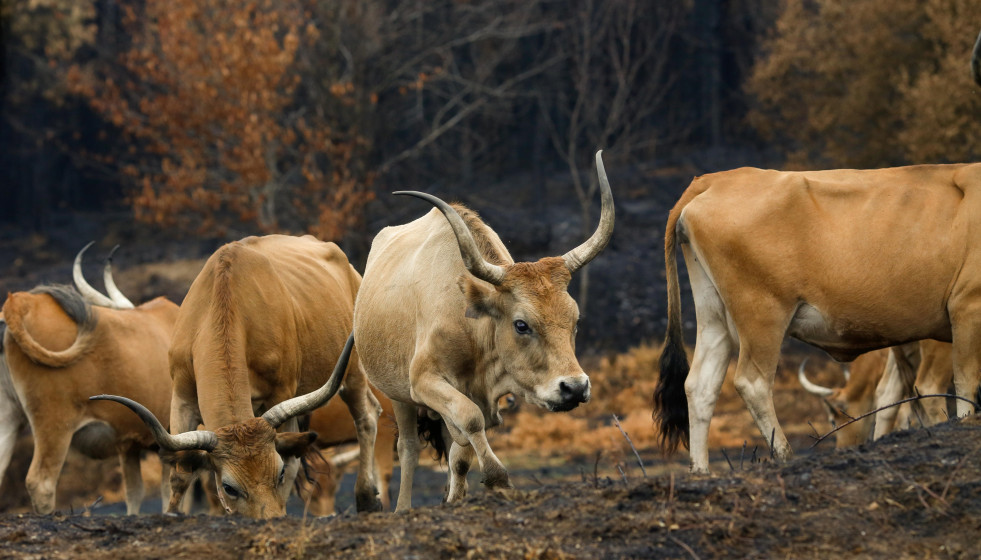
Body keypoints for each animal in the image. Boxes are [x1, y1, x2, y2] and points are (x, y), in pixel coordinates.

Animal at [0, 251, 179, 514]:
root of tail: (21, 301)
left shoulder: (129, 443)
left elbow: (135, 492)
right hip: (54, 422)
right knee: (41, 482)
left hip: (9, 416)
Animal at [94, 235, 383, 518]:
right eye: (229, 487)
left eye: (277, 473)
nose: (270, 519)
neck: (225, 301)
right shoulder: (182, 396)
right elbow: (180, 473)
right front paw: (173, 513)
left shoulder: (281, 393)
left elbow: (291, 464)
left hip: (353, 370)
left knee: (366, 416)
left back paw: (368, 499)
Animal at [354, 150, 614, 512]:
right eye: (521, 324)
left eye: (575, 320)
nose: (574, 388)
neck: (473, 327)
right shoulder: (424, 381)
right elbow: (470, 419)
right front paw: (497, 478)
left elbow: (461, 450)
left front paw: (458, 496)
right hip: (397, 395)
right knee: (408, 448)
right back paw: (403, 507)